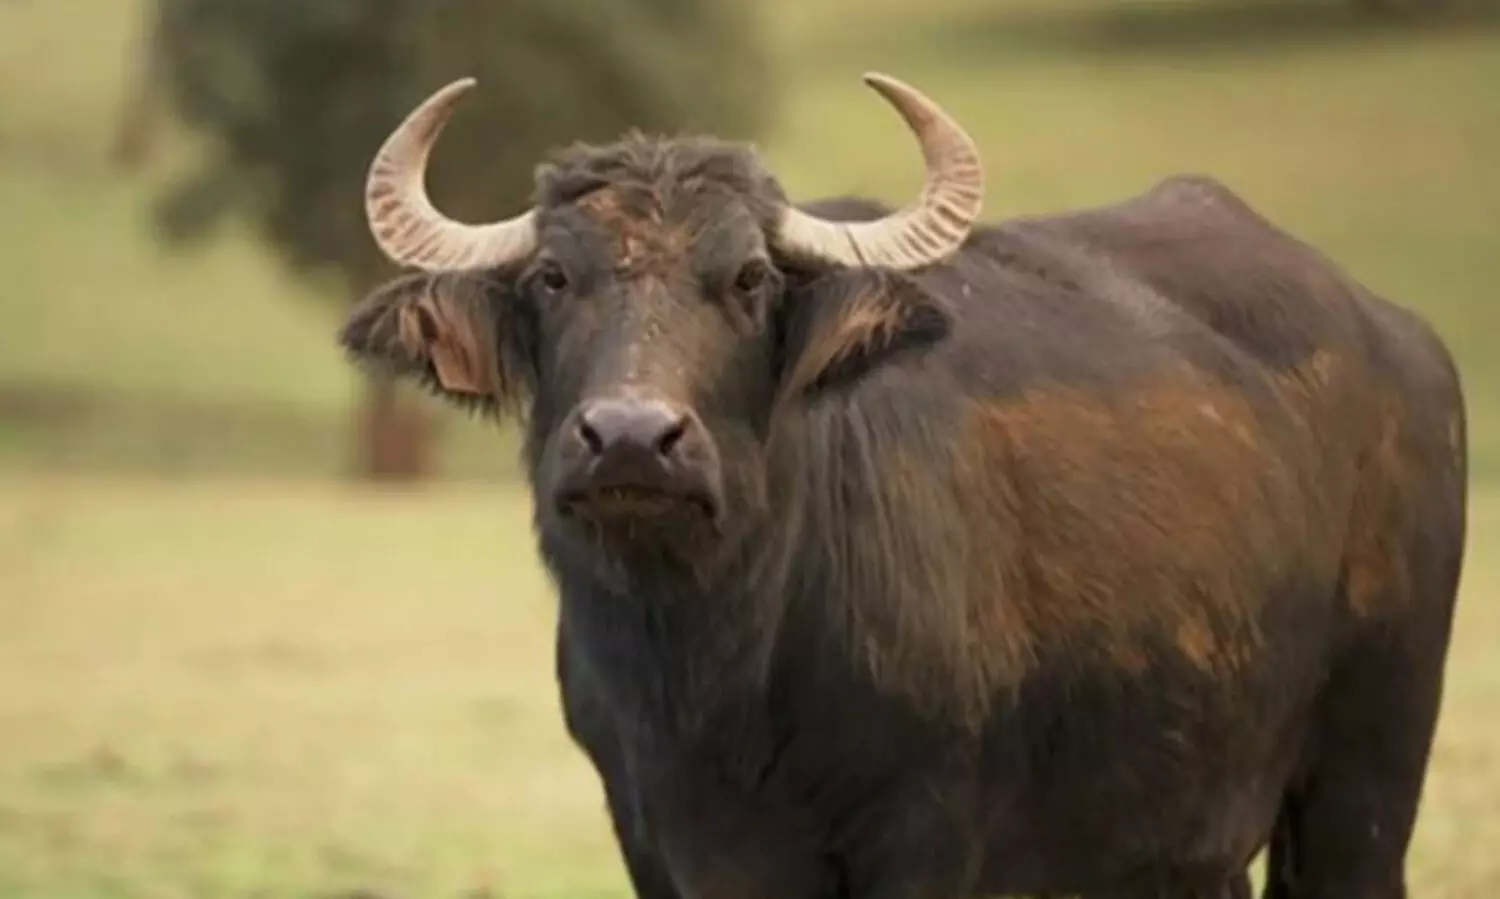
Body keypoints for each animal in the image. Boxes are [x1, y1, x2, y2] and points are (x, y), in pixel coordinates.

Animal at [340, 73, 1468, 899]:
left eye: (748, 278)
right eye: (553, 278)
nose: (630, 439)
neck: (722, 674)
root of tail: (1404, 340)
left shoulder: (928, 833)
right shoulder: (651, 831)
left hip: (1365, 780)